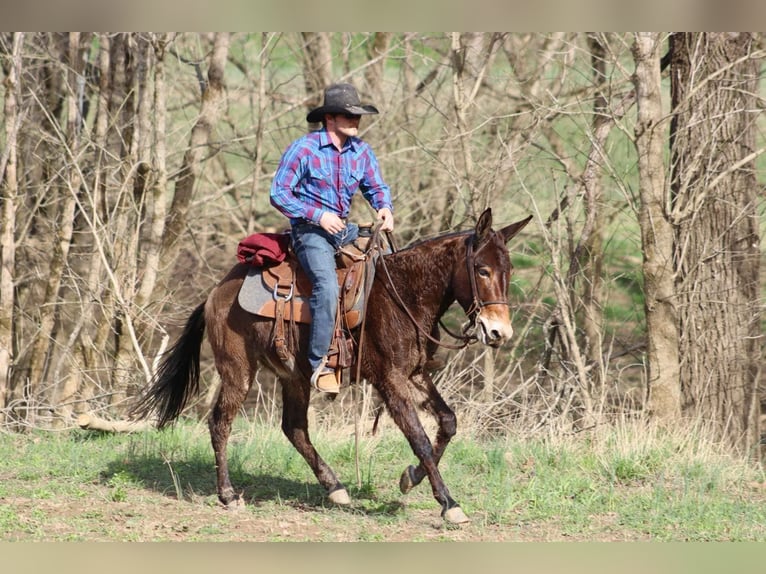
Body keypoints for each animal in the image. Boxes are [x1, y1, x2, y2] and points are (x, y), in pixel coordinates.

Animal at [131, 208, 532, 524]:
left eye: (509, 270)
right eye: (481, 269)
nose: (499, 332)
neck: (403, 294)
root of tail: (216, 293)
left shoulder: (415, 375)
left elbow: (448, 422)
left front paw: (410, 478)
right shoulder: (390, 381)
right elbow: (418, 436)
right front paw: (449, 504)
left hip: (294, 376)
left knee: (294, 428)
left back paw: (334, 486)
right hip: (237, 370)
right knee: (221, 423)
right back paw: (228, 494)